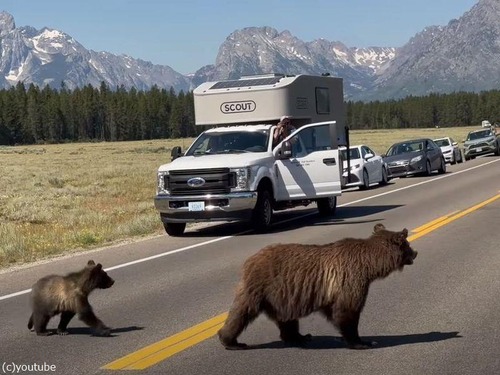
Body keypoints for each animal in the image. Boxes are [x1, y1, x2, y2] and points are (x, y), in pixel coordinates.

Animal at [217, 225, 416, 352]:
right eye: (407, 245)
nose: (415, 253)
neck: (369, 265)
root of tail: (251, 259)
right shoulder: (351, 279)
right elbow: (348, 311)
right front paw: (361, 342)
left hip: (283, 295)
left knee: (286, 319)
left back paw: (300, 337)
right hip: (263, 286)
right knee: (242, 312)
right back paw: (231, 341)